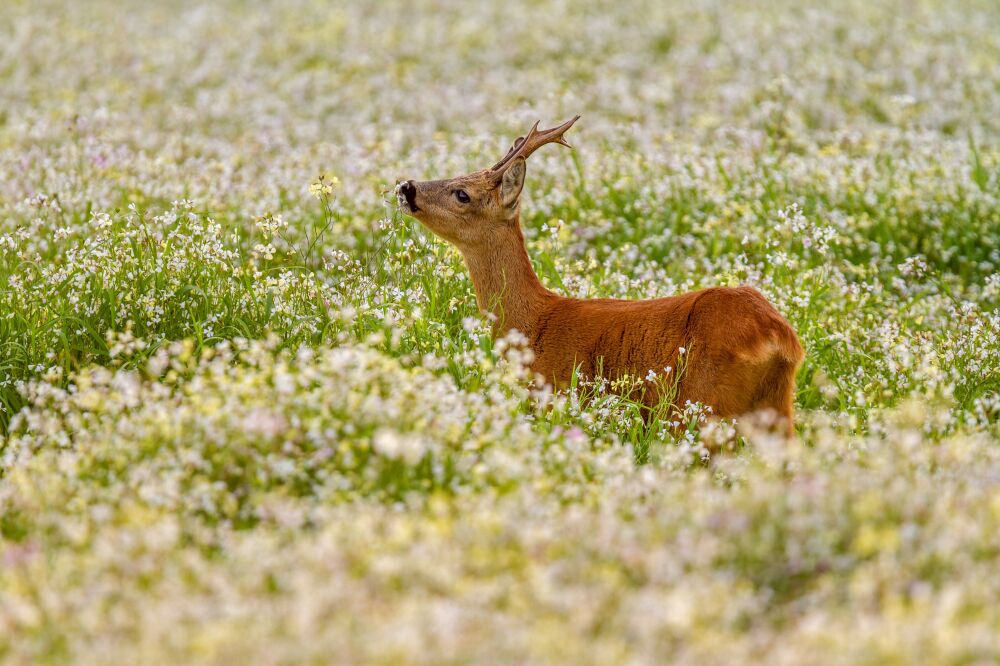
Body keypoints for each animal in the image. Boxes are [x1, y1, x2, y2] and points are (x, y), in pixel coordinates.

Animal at [398, 116, 804, 434]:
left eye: (462, 194)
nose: (407, 186)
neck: (531, 323)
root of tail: (779, 337)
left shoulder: (553, 393)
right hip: (777, 405)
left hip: (703, 403)